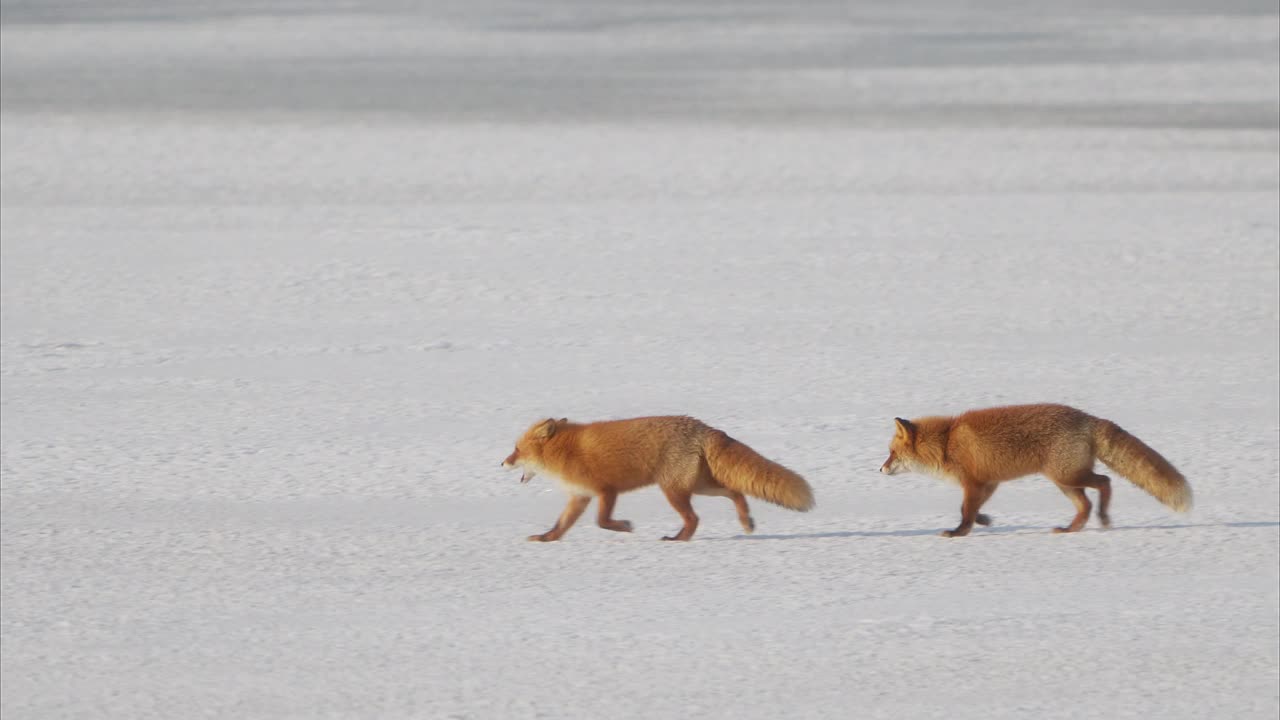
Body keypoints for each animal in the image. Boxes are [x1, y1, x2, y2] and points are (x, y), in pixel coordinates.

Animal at [499, 412, 808, 540]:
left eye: (516, 449)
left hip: (673, 490)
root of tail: (702, 427)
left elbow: (603, 522)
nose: (502, 463)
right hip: (698, 486)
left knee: (695, 518)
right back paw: (746, 522)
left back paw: (678, 540)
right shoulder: (580, 496)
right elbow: (560, 526)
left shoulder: (606, 490)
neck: (564, 451)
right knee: (735, 491)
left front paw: (625, 527)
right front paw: (545, 539)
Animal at [880, 399, 1187, 535]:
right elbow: (971, 509)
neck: (947, 441)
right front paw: (984, 521)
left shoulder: (974, 482)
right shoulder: (988, 482)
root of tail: (1088, 418)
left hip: (1067, 476)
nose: (880, 470)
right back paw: (1071, 529)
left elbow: (965, 511)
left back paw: (1104, 518)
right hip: (1065, 483)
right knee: (1086, 504)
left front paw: (959, 532)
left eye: (891, 453)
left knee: (1105, 483)